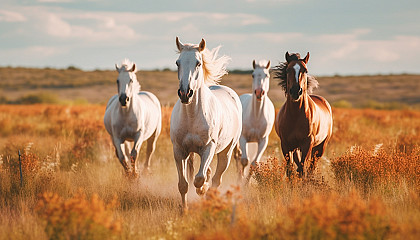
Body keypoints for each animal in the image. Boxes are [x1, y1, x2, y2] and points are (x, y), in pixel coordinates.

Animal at [171, 37, 243, 210]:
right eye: (177, 62)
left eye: (198, 63)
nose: (185, 93)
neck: (191, 116)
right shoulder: (179, 150)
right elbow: (183, 184)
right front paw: (184, 210)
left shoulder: (208, 148)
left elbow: (200, 179)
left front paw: (202, 190)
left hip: (226, 153)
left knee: (216, 179)